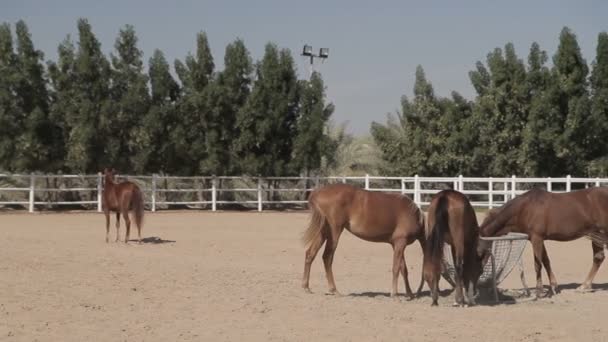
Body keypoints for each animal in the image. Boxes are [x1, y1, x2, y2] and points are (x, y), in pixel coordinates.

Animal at [480, 186, 608, 298]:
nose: (480, 272)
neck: (524, 208)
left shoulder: (536, 238)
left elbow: (538, 264)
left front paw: (539, 290)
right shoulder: (538, 239)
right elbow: (546, 261)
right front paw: (553, 287)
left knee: (598, 258)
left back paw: (584, 286)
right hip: (596, 234)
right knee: (598, 257)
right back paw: (585, 286)